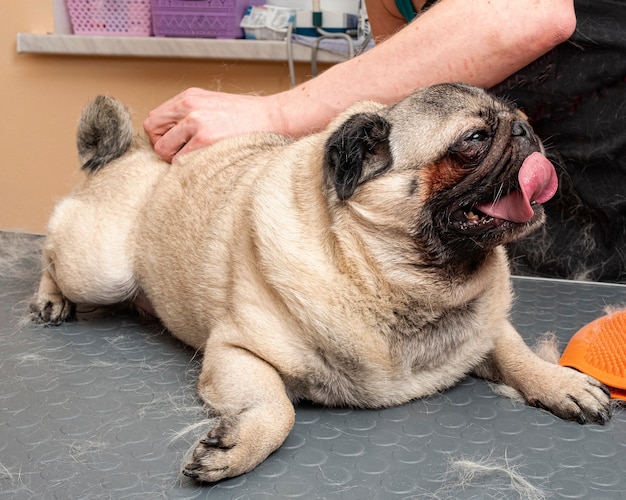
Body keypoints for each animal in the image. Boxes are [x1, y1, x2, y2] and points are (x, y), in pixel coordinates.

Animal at [30, 84, 608, 482]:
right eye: (475, 140)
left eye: (522, 122)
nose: (525, 132)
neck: (398, 281)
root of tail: (133, 153)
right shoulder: (237, 351)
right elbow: (277, 410)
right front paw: (236, 450)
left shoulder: (485, 327)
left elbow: (515, 352)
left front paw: (560, 382)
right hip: (101, 269)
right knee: (52, 249)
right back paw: (49, 299)